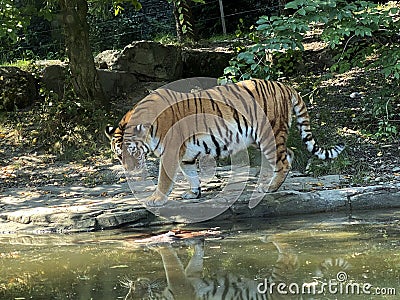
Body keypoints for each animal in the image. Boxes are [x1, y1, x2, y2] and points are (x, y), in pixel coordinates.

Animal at [106, 79, 344, 206]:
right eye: (119, 155)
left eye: (132, 152)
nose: (130, 171)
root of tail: (284, 85)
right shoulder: (185, 155)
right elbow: (190, 174)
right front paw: (193, 193)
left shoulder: (171, 152)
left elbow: (164, 179)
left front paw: (156, 199)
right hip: (258, 138)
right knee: (290, 153)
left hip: (269, 134)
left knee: (283, 161)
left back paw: (270, 188)